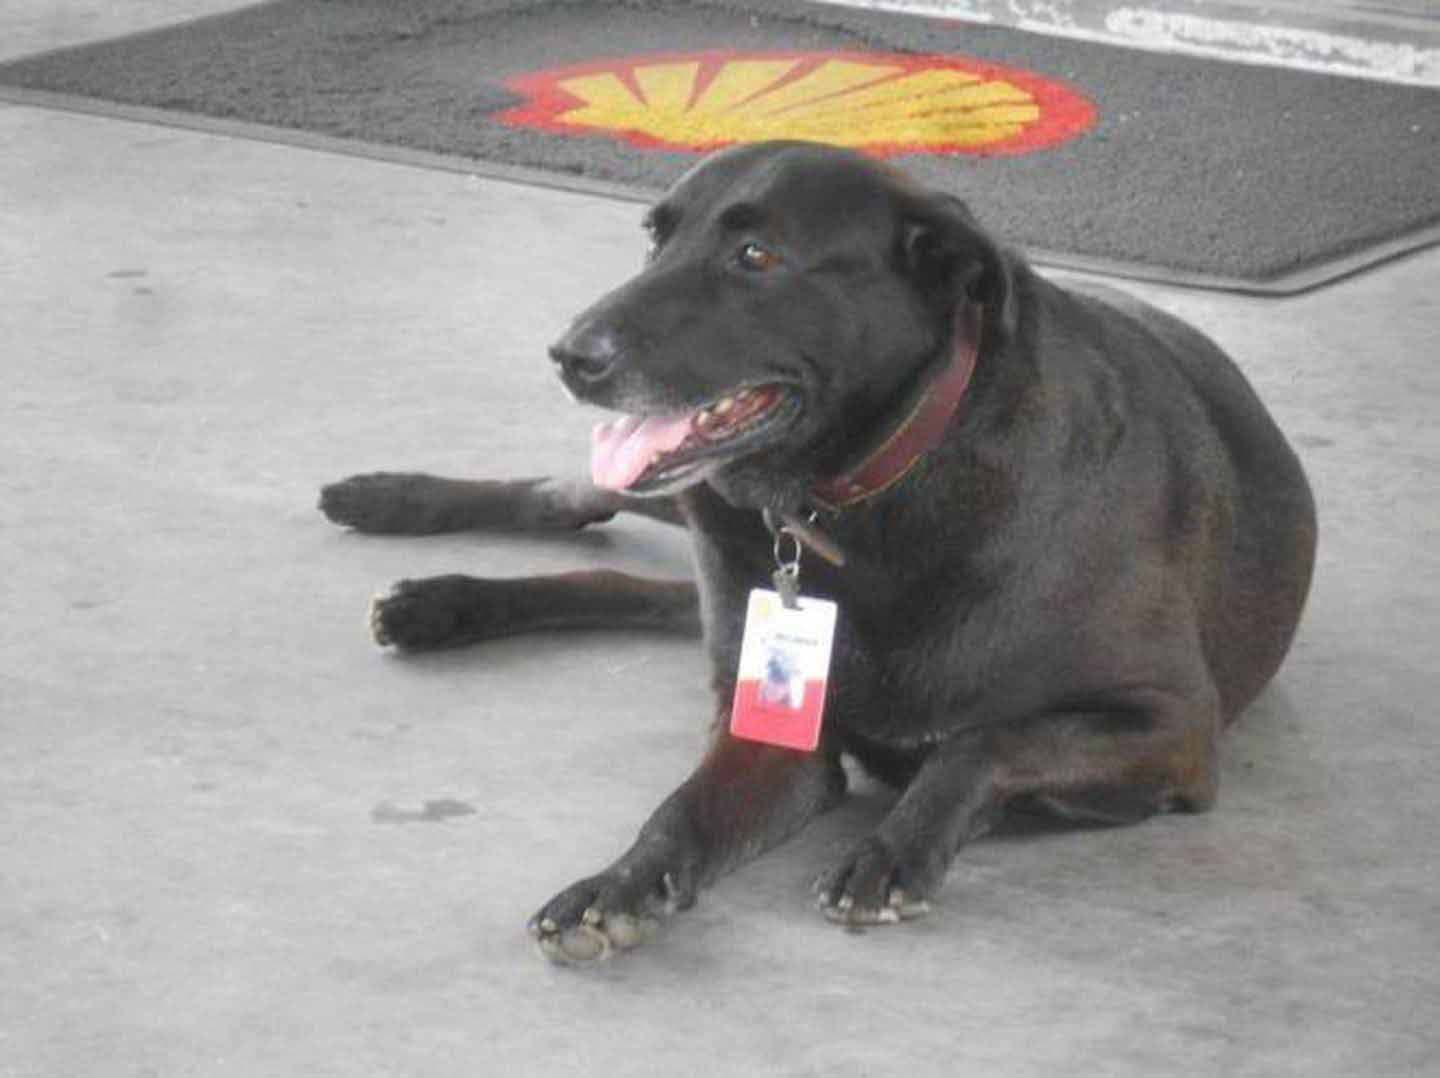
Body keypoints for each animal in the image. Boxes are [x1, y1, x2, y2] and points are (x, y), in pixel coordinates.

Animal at [324, 141, 1319, 961]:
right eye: (654, 239)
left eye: (757, 258)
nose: (569, 354)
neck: (857, 501)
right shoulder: (769, 735)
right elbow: (678, 812)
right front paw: (616, 882)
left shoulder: (1173, 727)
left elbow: (983, 741)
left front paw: (892, 850)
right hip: (690, 504)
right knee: (579, 502)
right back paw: (398, 527)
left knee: (617, 572)